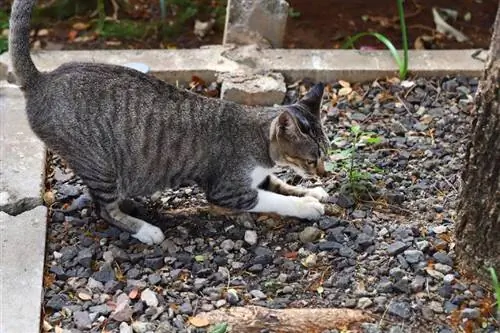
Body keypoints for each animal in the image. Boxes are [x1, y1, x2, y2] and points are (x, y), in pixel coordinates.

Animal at [9, 0, 330, 244]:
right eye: (311, 159)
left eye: (325, 155)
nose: (323, 173)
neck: (259, 141)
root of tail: (42, 80)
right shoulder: (228, 190)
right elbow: (273, 198)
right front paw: (305, 205)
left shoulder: (259, 176)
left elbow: (280, 184)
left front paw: (311, 192)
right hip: (99, 164)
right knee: (105, 210)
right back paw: (145, 229)